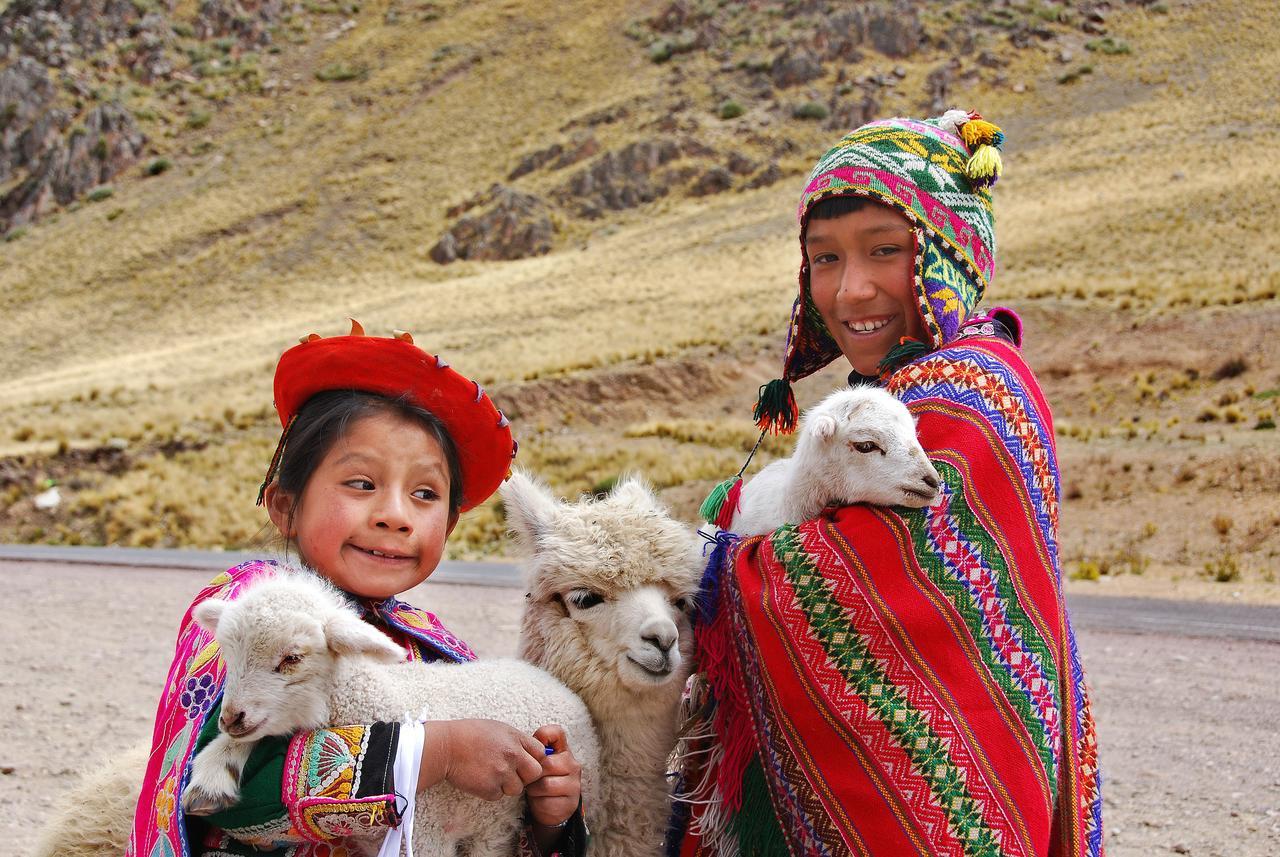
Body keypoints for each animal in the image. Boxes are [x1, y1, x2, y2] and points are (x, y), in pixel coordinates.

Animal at [184, 570, 599, 857]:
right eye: (228, 652)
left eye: (292, 658)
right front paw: (213, 774)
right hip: (495, 821)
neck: (379, 698)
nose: (230, 718)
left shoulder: (424, 830)